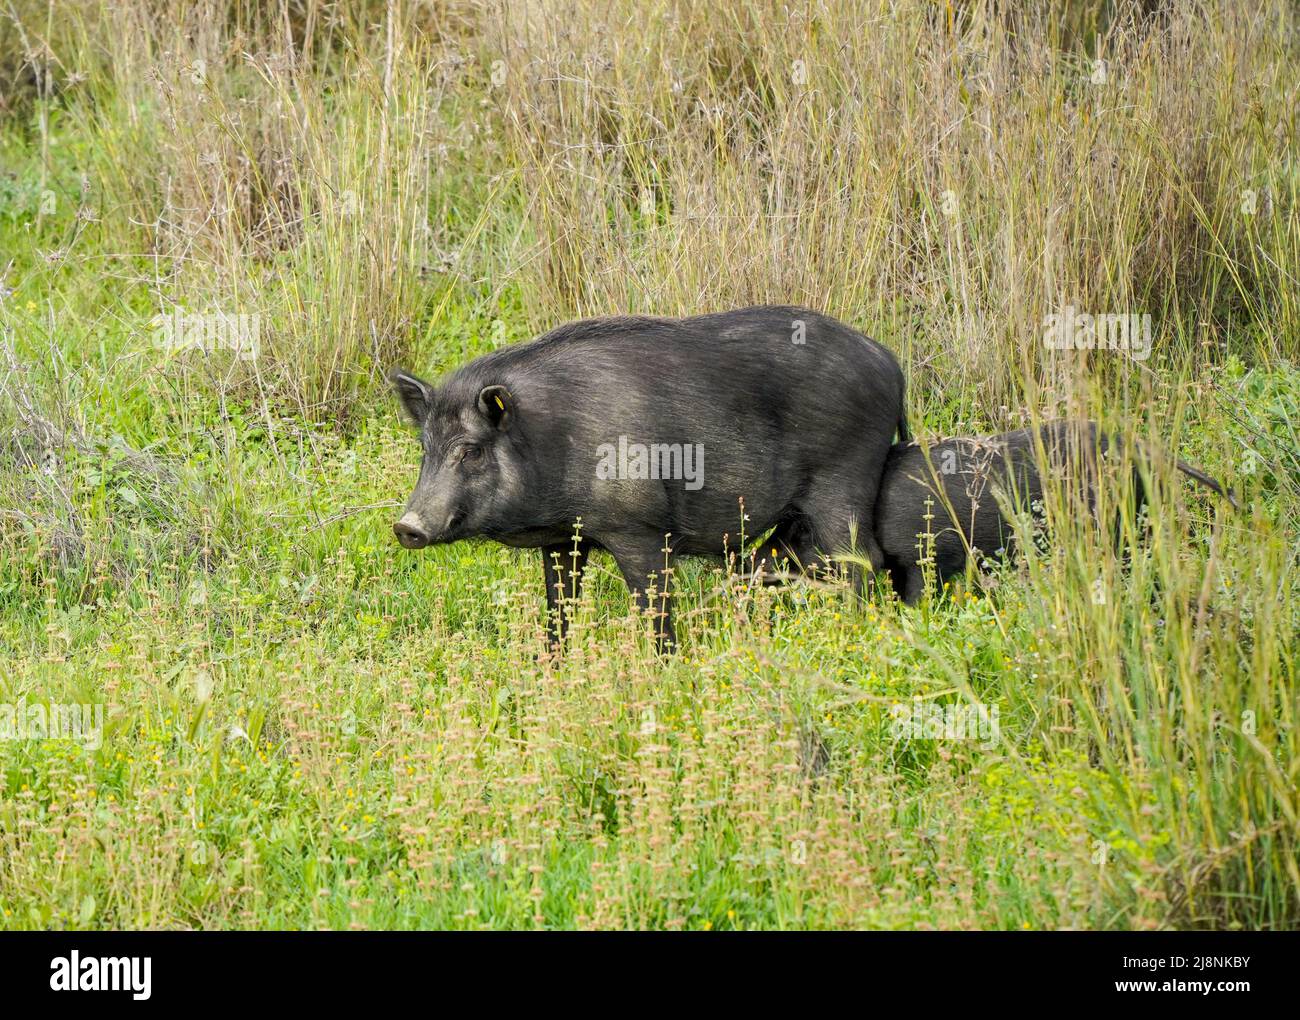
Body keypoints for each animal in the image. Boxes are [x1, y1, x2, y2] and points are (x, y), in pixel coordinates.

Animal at [390, 302, 909, 644]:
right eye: (425, 450)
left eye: (472, 451)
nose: (405, 526)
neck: (552, 438)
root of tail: (890, 363)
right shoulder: (561, 540)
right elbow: (560, 607)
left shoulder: (640, 531)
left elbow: (653, 610)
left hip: (844, 481)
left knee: (863, 560)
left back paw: (856, 634)